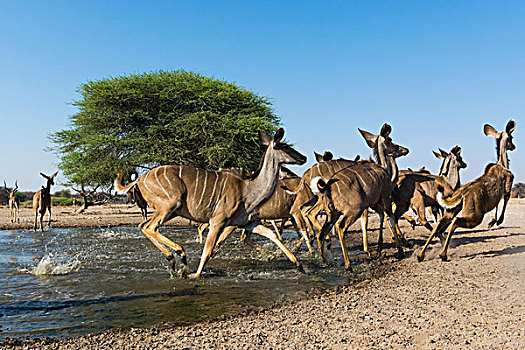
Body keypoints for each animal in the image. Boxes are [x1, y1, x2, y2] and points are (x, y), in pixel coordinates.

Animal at [418, 119, 516, 262]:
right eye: (511, 138)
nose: (513, 146)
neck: (502, 164)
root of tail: (462, 194)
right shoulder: (509, 183)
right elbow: (506, 199)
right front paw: (497, 221)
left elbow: (498, 204)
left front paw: (492, 222)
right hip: (475, 217)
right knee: (455, 221)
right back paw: (443, 254)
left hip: (452, 210)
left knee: (439, 225)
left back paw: (421, 255)